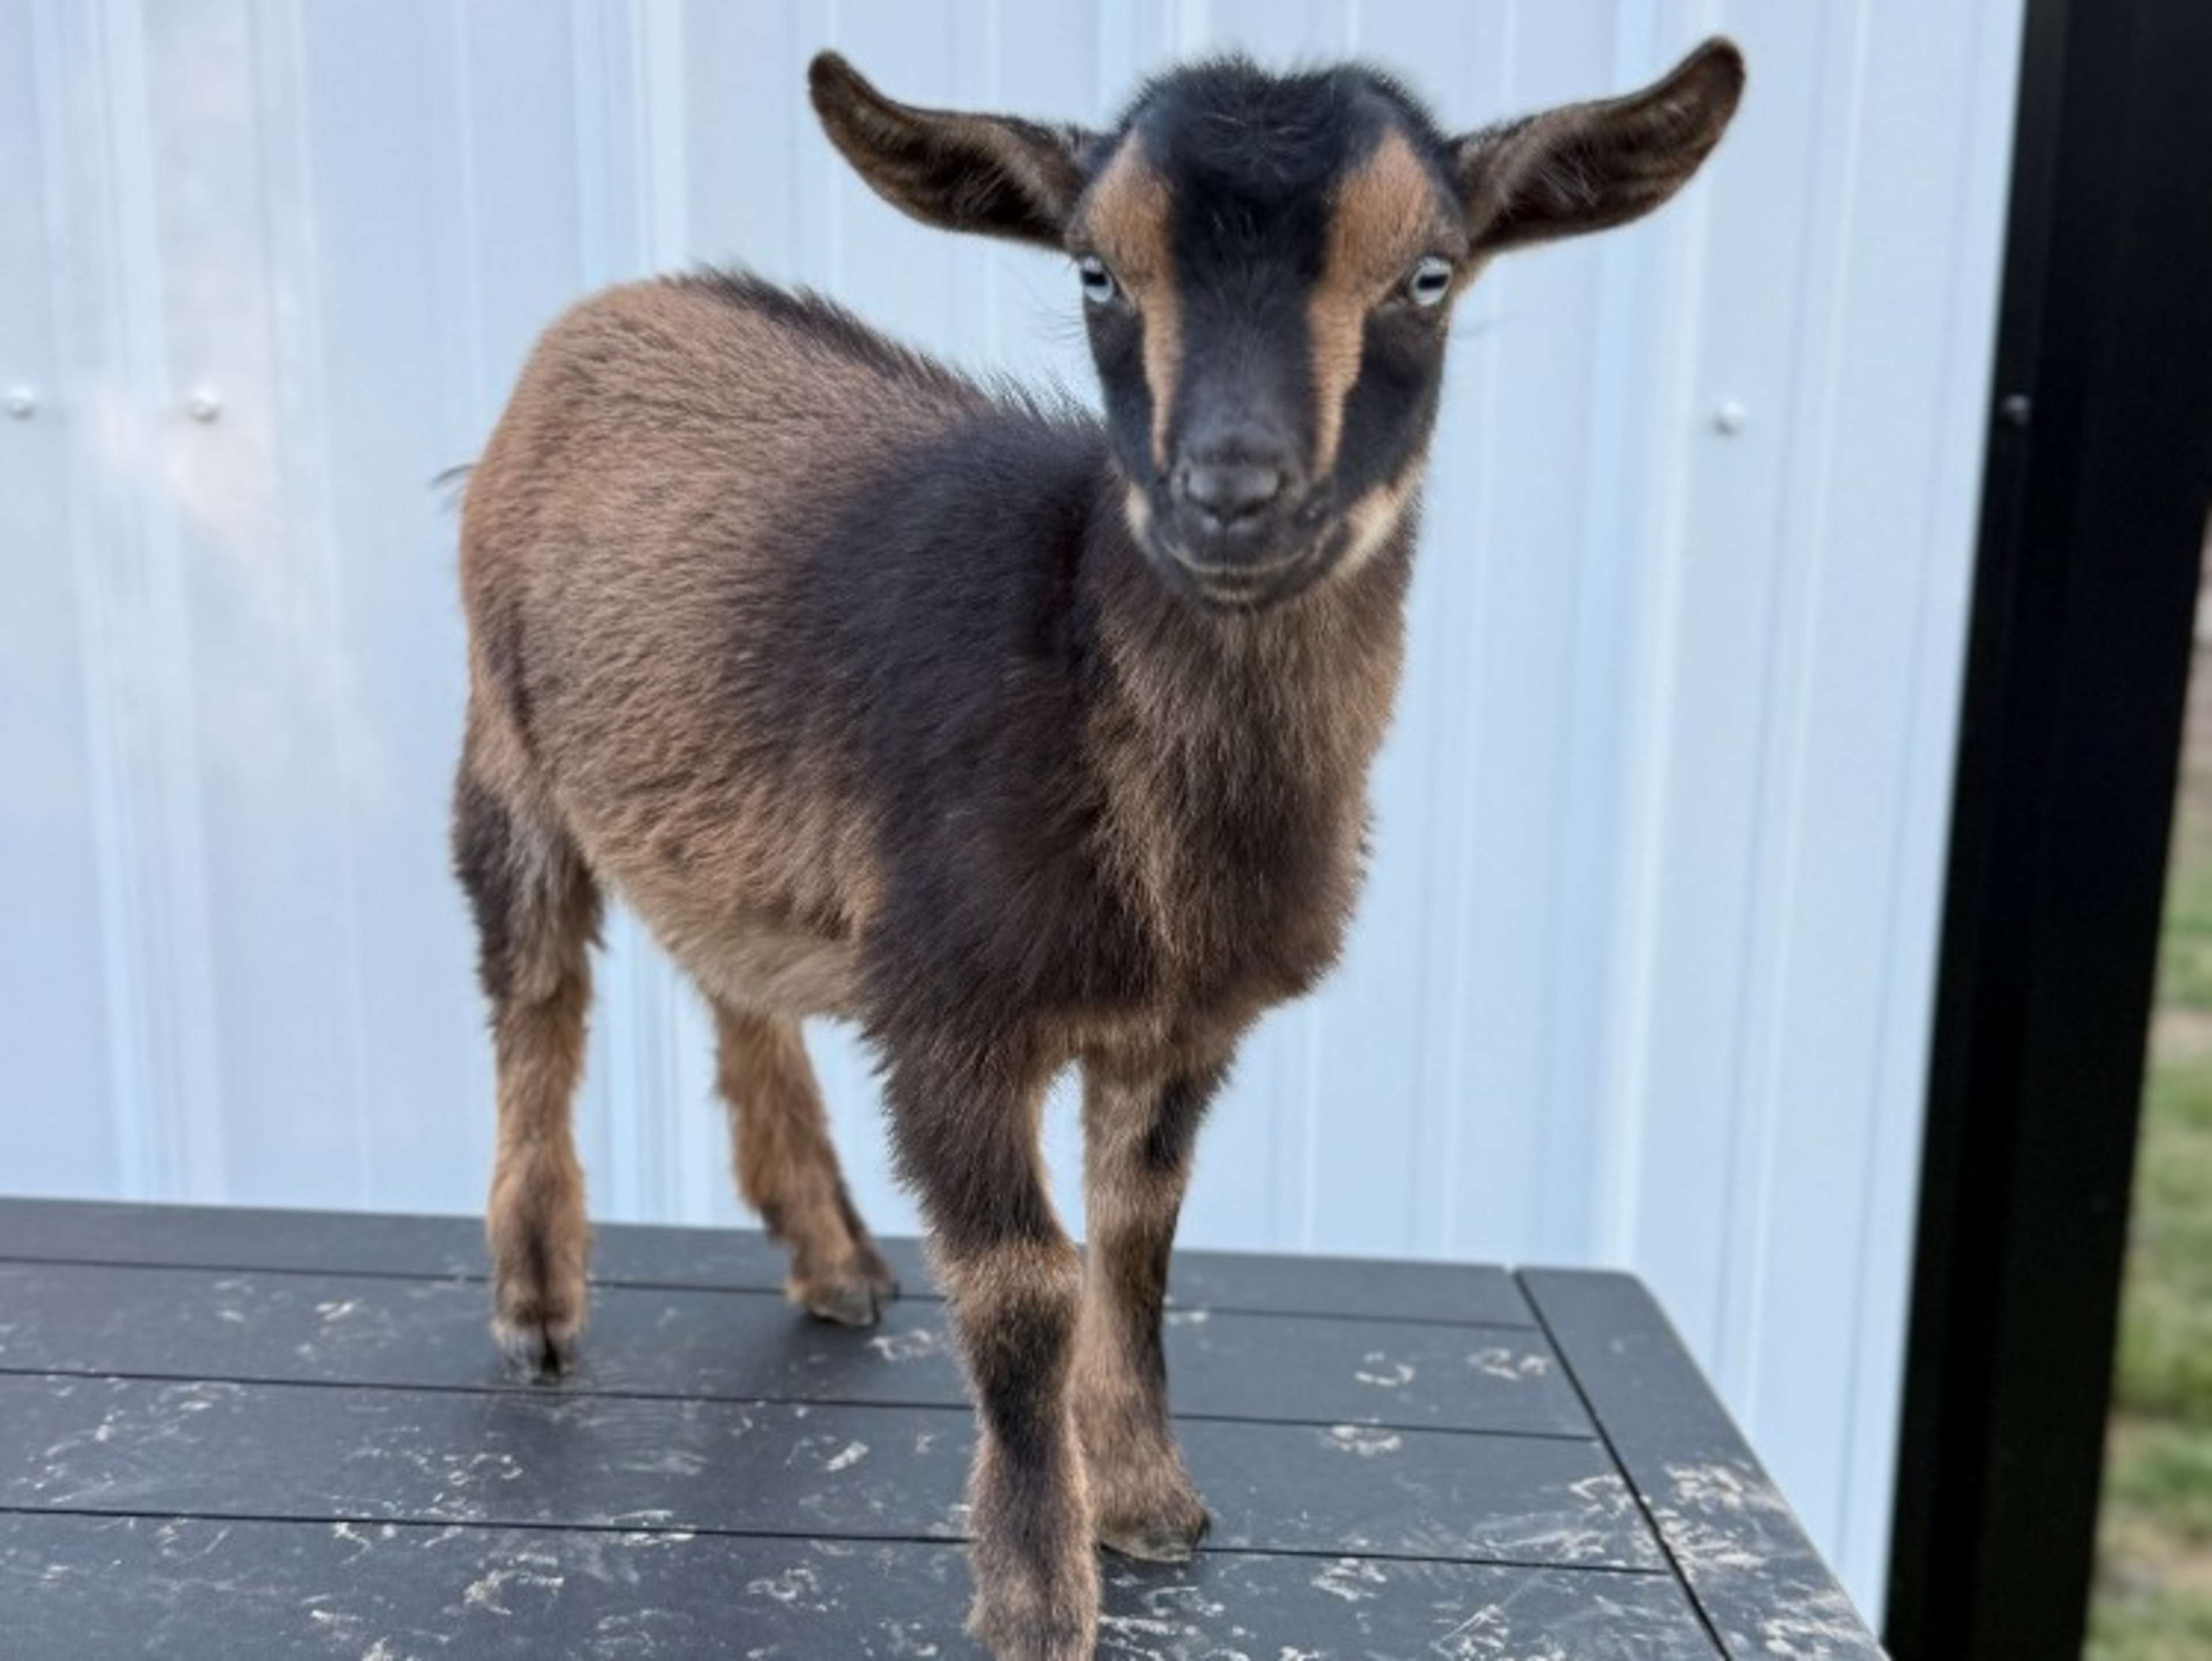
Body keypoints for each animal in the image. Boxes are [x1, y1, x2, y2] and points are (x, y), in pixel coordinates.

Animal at [453, 40, 1743, 1660]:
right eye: (1093, 271)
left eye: (1430, 273)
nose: (1232, 495)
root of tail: (607, 310)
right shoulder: (948, 1006)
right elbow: (1026, 1287)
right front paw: (1036, 1593)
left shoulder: (1177, 1026)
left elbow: (1137, 1243)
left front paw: (1147, 1502)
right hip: (506, 743)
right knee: (535, 991)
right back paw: (537, 1302)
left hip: (720, 814)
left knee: (732, 978)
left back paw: (833, 1259)